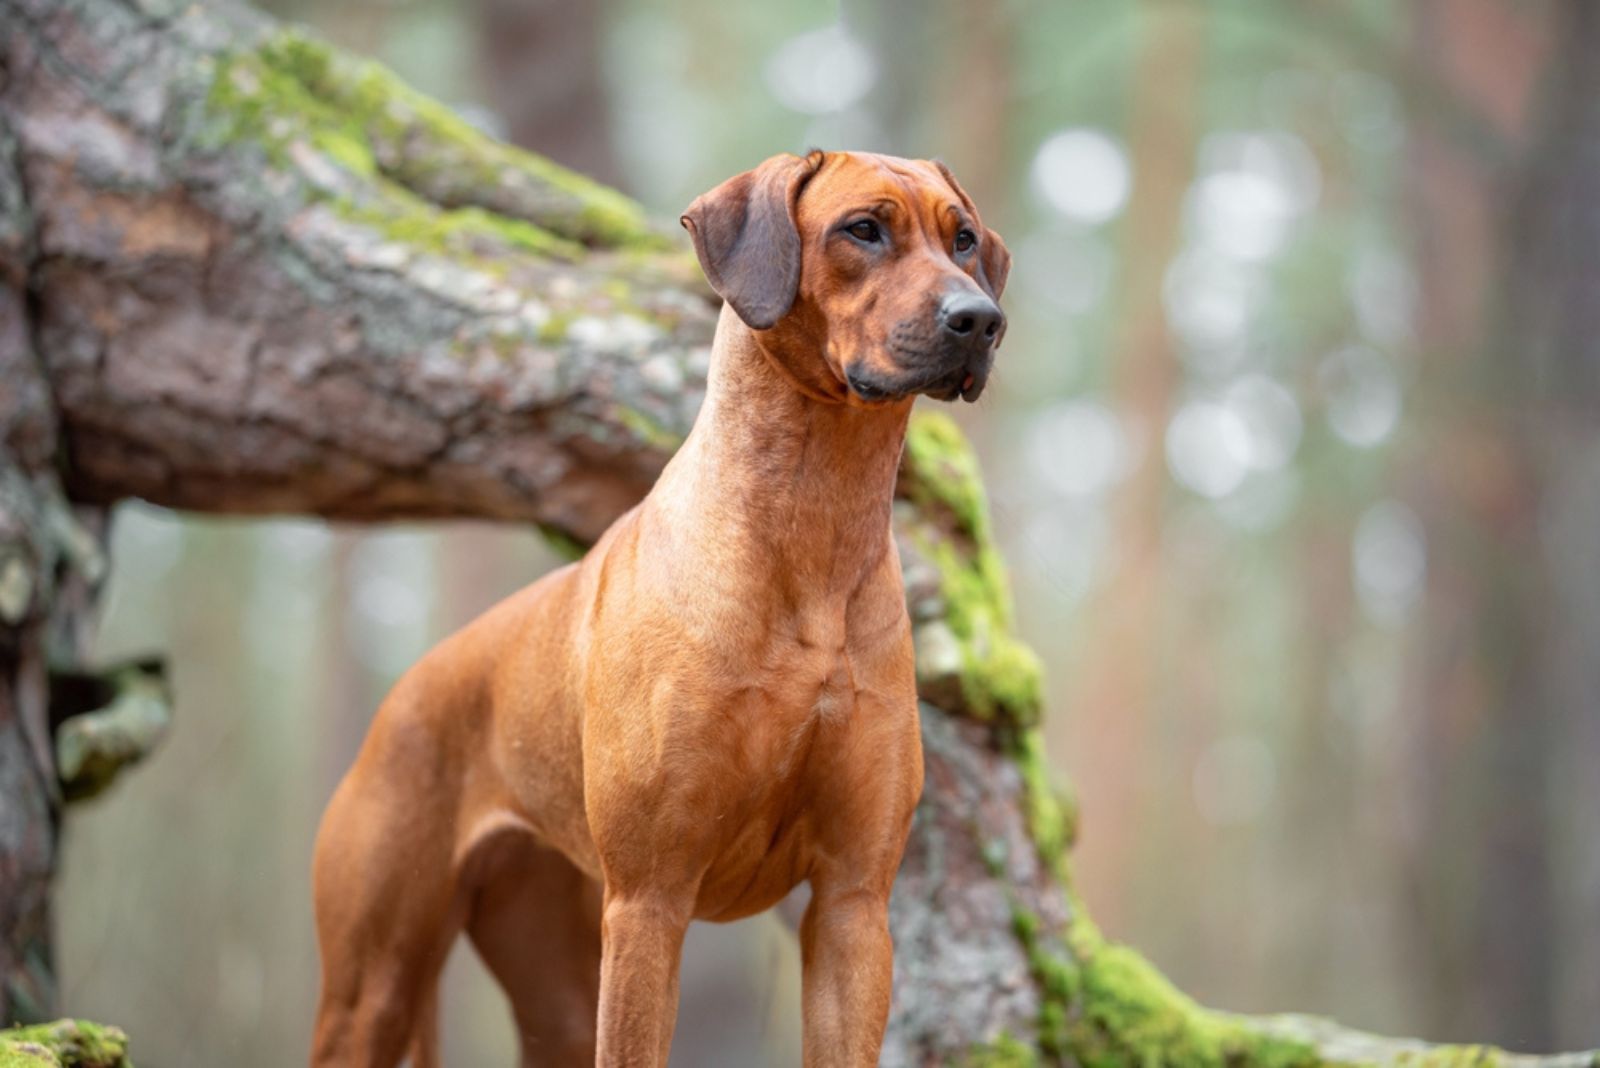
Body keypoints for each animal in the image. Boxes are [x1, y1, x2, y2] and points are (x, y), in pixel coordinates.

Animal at [310, 151, 1004, 1068]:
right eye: (863, 229)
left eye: (963, 240)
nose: (982, 319)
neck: (815, 528)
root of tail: (401, 695)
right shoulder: (650, 897)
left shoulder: (854, 904)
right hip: (373, 987)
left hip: (555, 977)